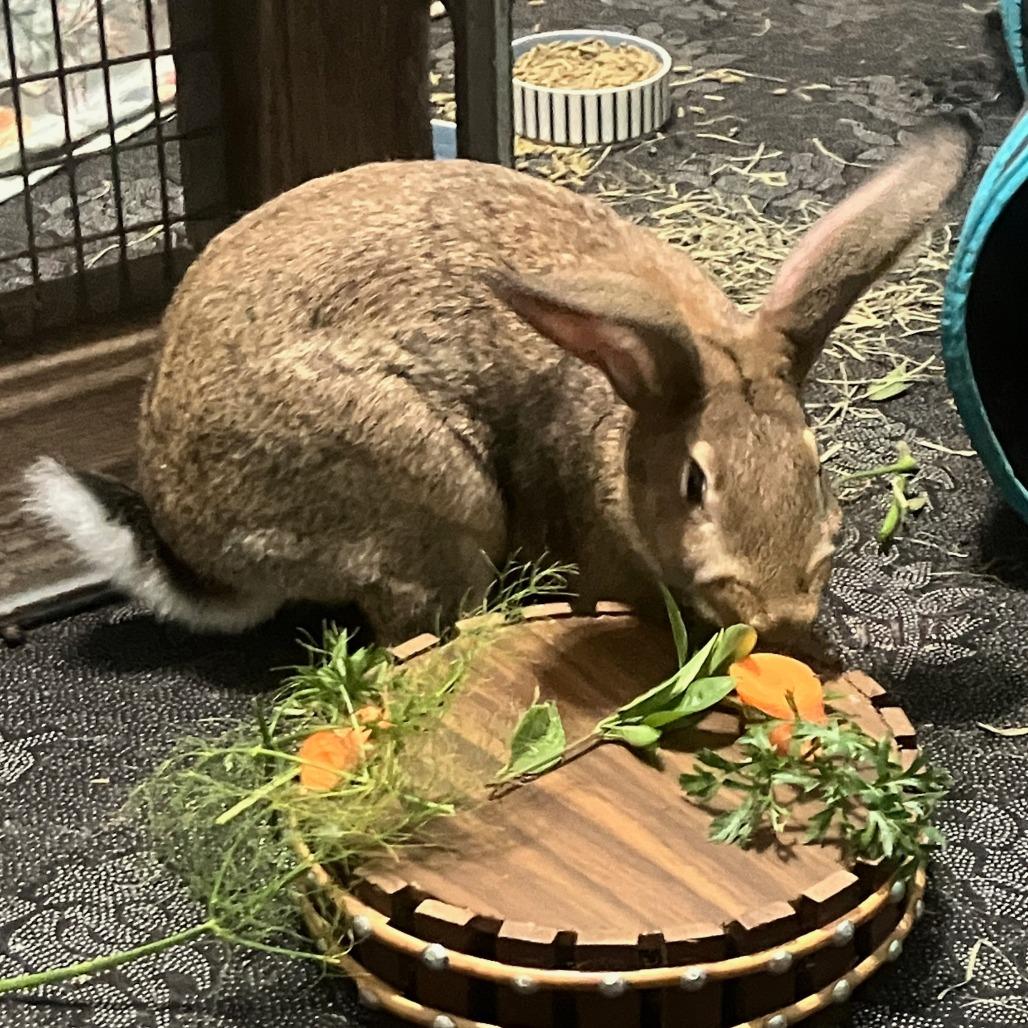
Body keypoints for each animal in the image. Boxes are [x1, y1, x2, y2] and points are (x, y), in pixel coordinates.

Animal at [24, 116, 974, 646]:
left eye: (816, 468)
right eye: (694, 484)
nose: (780, 616)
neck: (625, 416)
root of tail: (205, 548)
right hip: (436, 497)